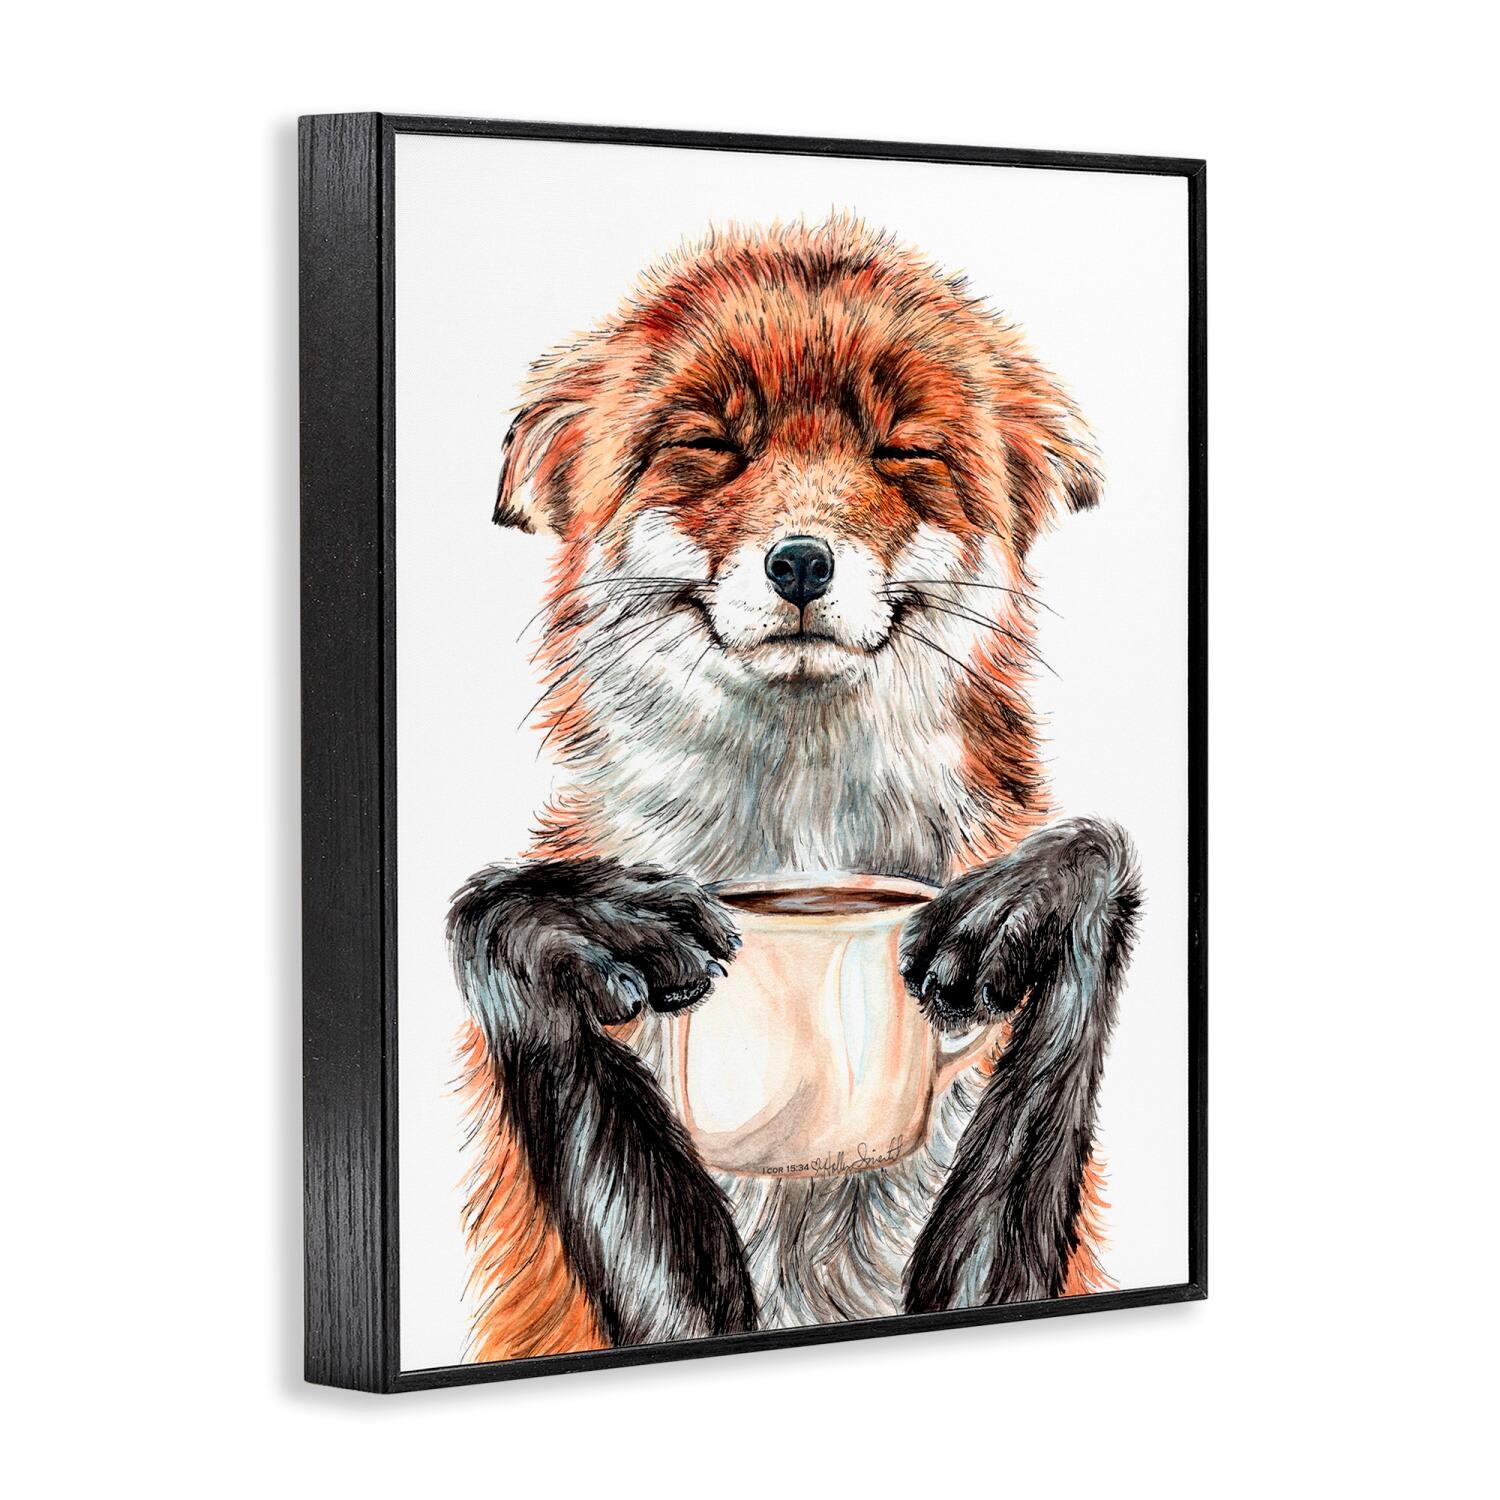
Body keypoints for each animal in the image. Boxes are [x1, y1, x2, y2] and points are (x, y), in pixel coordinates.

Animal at [448, 216, 1141, 1363]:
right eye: (710, 446)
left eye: (902, 450)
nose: (803, 564)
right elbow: (494, 921)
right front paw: (573, 922)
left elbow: (1093, 863)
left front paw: (1036, 904)